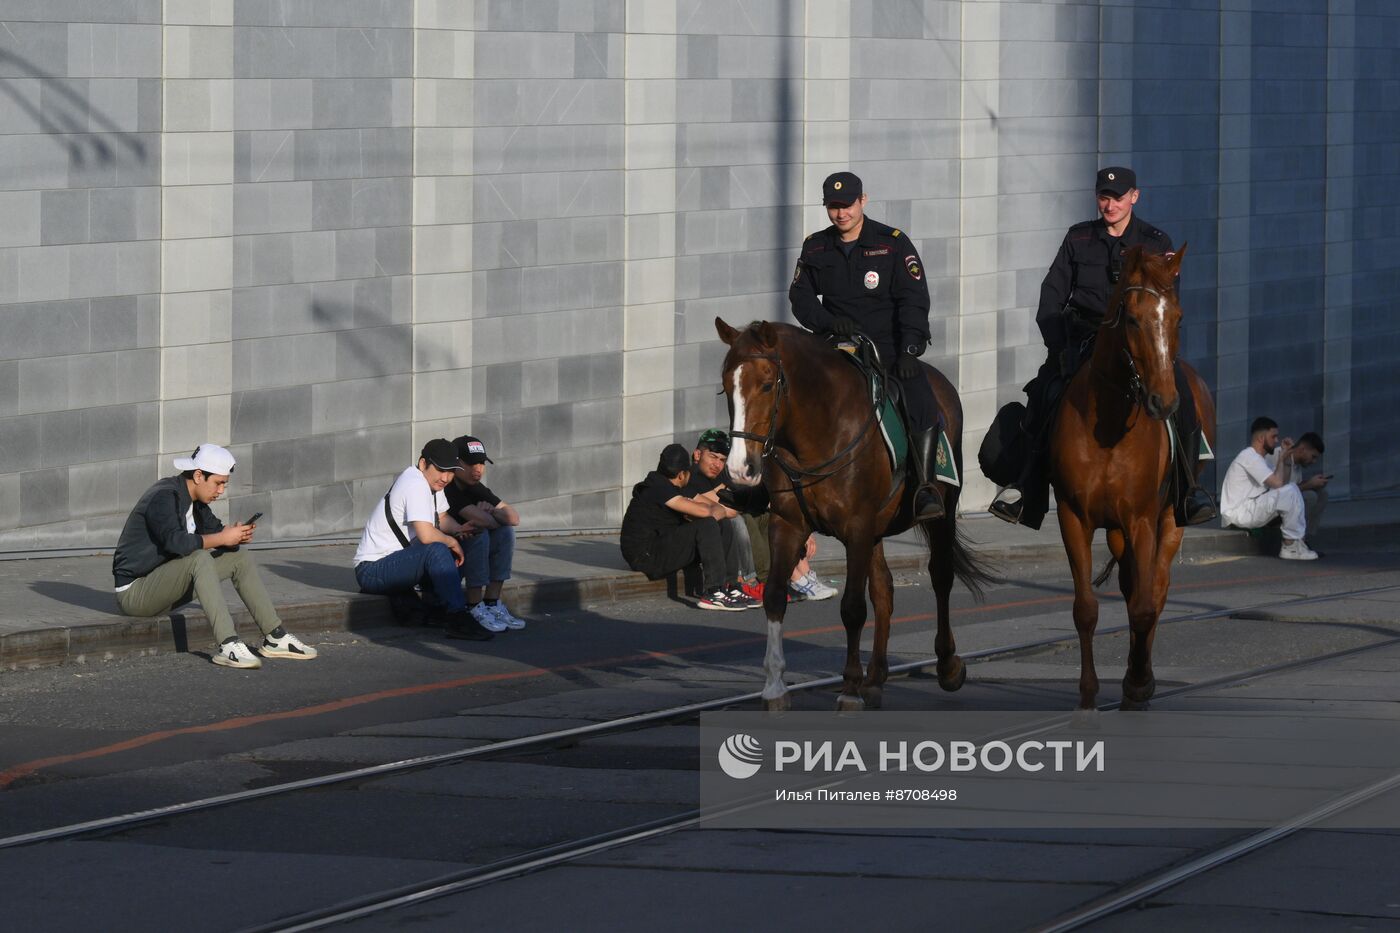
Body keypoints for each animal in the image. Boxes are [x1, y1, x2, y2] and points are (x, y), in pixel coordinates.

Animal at [716, 316, 991, 708]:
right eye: (726, 387)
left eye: (767, 385)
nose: (741, 469)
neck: (818, 431)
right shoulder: (788, 525)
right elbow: (774, 597)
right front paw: (775, 686)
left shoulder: (856, 527)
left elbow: (852, 608)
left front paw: (849, 688)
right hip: (876, 531)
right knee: (884, 591)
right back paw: (875, 678)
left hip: (943, 510)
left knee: (940, 577)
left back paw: (947, 665)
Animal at [1052, 243, 1215, 708]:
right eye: (1132, 319)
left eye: (1177, 317)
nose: (1164, 401)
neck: (1108, 424)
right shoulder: (1074, 517)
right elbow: (1086, 608)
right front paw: (1089, 693)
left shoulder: (1142, 518)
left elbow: (1145, 605)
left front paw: (1139, 680)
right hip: (1116, 529)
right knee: (1129, 586)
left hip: (1171, 518)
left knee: (1155, 589)